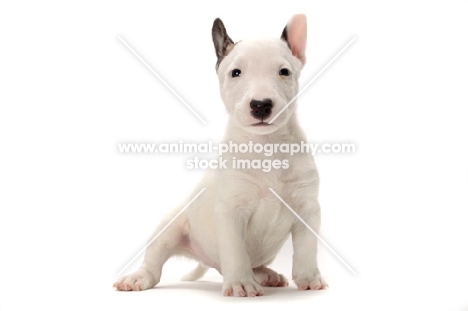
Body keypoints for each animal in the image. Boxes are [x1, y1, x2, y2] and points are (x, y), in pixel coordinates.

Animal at [114, 14, 328, 298]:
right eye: (236, 72)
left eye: (284, 72)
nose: (261, 105)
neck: (266, 146)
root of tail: (211, 263)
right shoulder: (231, 211)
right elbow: (236, 251)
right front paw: (240, 284)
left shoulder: (307, 209)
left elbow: (306, 249)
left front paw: (309, 278)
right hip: (169, 228)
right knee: (154, 263)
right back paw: (137, 277)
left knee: (254, 264)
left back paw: (266, 275)